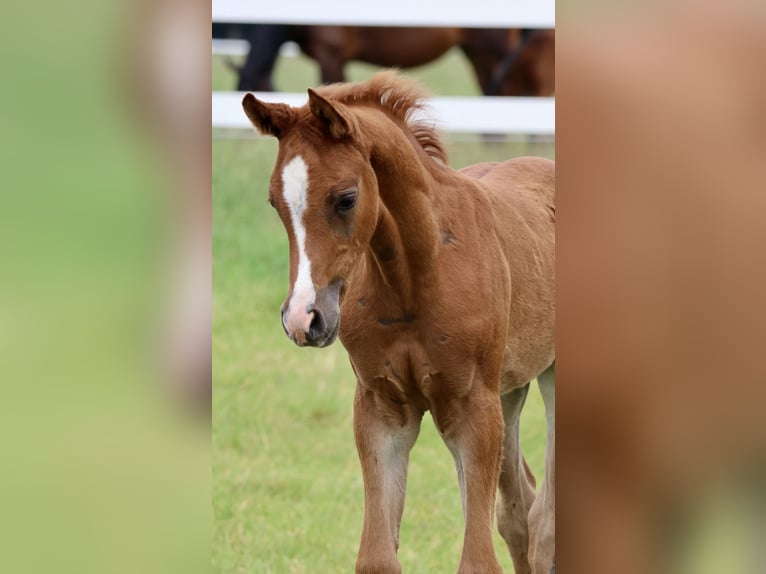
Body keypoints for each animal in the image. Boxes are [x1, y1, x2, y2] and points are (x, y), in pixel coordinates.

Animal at [246, 73, 560, 574]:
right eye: (276, 203)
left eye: (346, 199)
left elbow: (478, 560)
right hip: (510, 387)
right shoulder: (382, 409)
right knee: (520, 513)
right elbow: (377, 557)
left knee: (545, 522)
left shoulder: (471, 408)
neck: (417, 276)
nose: (303, 318)